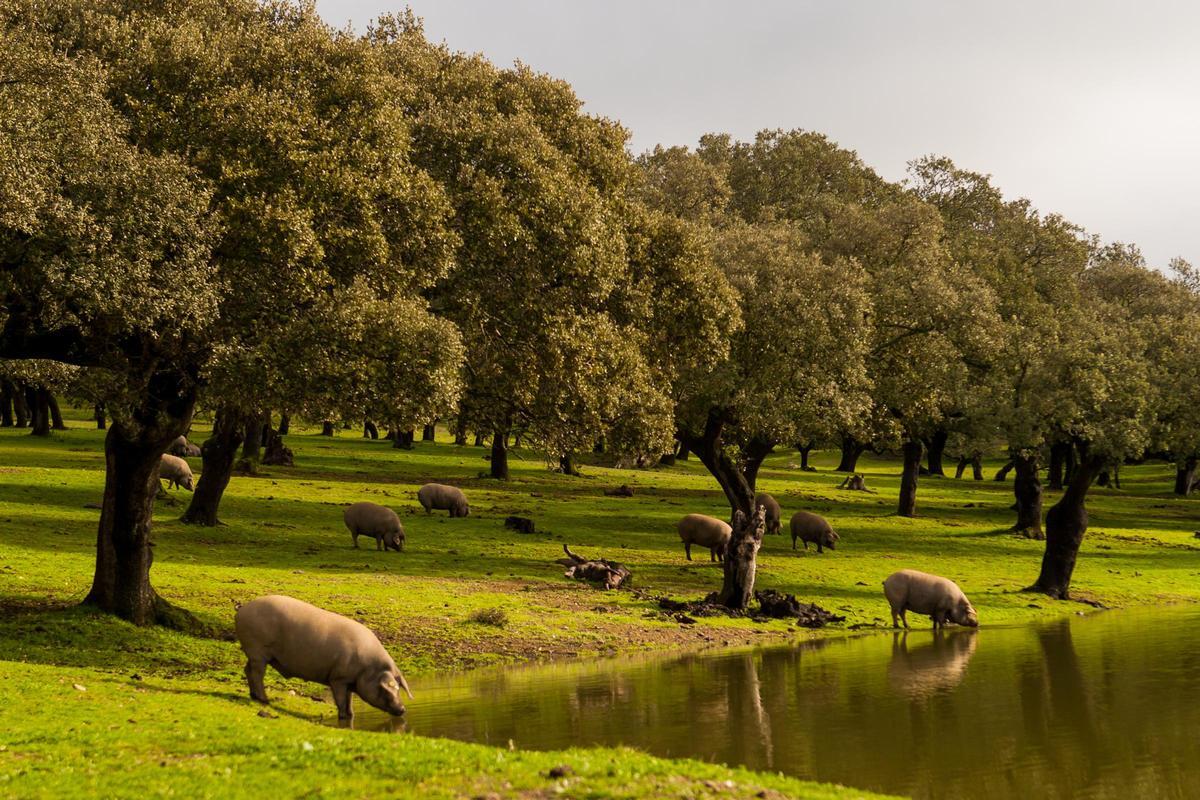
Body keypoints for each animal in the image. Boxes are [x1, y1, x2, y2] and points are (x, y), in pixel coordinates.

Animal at [232, 594, 412, 724]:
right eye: (384, 689)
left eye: (397, 688)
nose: (402, 709)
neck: (366, 667)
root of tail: (242, 610)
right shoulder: (338, 678)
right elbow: (341, 701)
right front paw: (343, 718)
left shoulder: (348, 681)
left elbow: (349, 701)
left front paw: (350, 716)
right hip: (257, 651)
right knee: (257, 673)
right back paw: (264, 700)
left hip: (254, 654)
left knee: (247, 669)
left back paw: (254, 696)